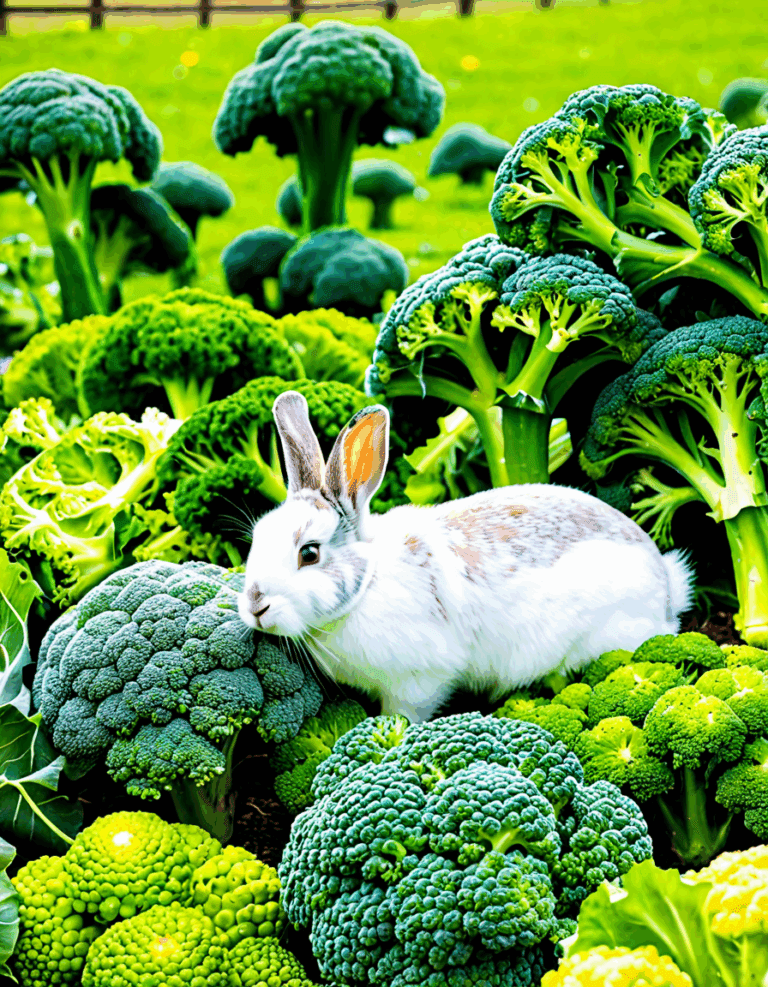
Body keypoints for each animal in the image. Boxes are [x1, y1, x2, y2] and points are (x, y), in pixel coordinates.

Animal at [238, 391, 694, 724]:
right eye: (257, 538)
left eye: (309, 553)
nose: (255, 605)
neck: (368, 584)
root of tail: (667, 587)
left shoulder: (418, 681)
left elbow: (405, 714)